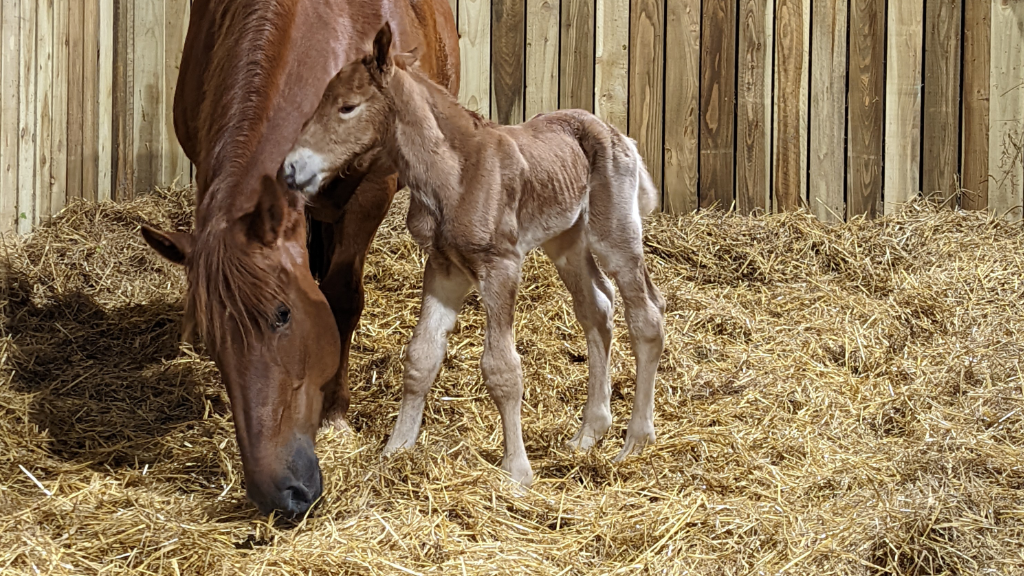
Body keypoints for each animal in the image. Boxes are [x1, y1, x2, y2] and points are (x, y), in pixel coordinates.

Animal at [138, 0, 458, 516]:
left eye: (282, 315)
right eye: (209, 337)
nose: (278, 493)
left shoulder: (371, 190)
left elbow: (341, 299)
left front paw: (335, 413)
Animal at [282, 23, 663, 483]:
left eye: (347, 107)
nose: (292, 168)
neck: (456, 174)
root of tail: (618, 133)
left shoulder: (500, 267)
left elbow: (502, 369)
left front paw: (516, 471)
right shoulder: (443, 267)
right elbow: (421, 356)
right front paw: (396, 449)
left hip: (616, 236)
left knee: (646, 316)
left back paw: (636, 441)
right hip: (566, 242)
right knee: (597, 308)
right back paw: (589, 433)